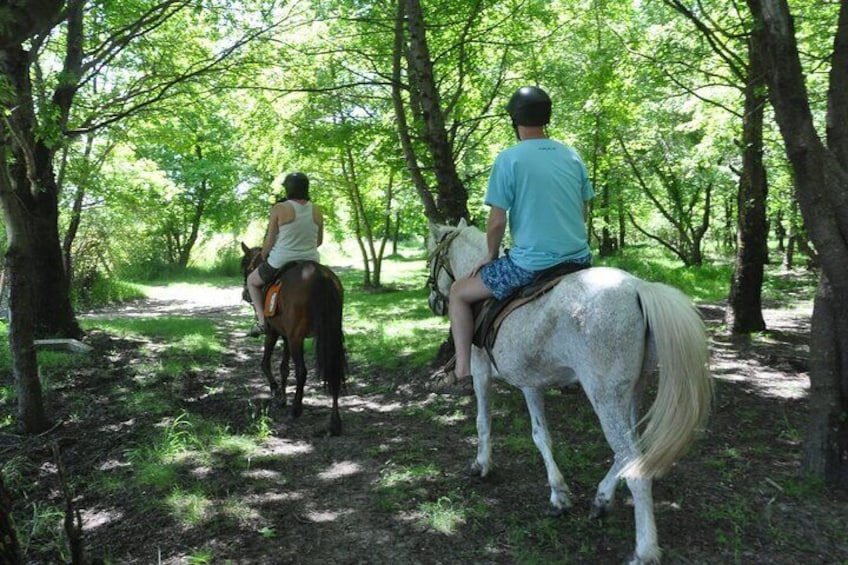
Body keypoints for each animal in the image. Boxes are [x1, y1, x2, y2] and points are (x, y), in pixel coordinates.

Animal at [240, 243, 346, 436]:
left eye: (245, 266)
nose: (245, 294)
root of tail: (319, 275)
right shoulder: (287, 336)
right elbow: (284, 368)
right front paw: (282, 397)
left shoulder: (274, 333)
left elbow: (265, 363)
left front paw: (276, 392)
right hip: (331, 334)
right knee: (334, 369)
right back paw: (334, 422)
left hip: (296, 337)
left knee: (302, 371)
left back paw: (296, 409)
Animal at [428, 221, 712, 564]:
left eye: (431, 256)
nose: (433, 301)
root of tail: (638, 289)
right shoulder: (530, 382)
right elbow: (541, 435)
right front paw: (559, 495)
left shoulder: (481, 369)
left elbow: (484, 422)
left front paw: (481, 465)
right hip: (631, 390)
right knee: (630, 451)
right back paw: (601, 499)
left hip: (605, 396)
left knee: (635, 465)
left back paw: (644, 550)